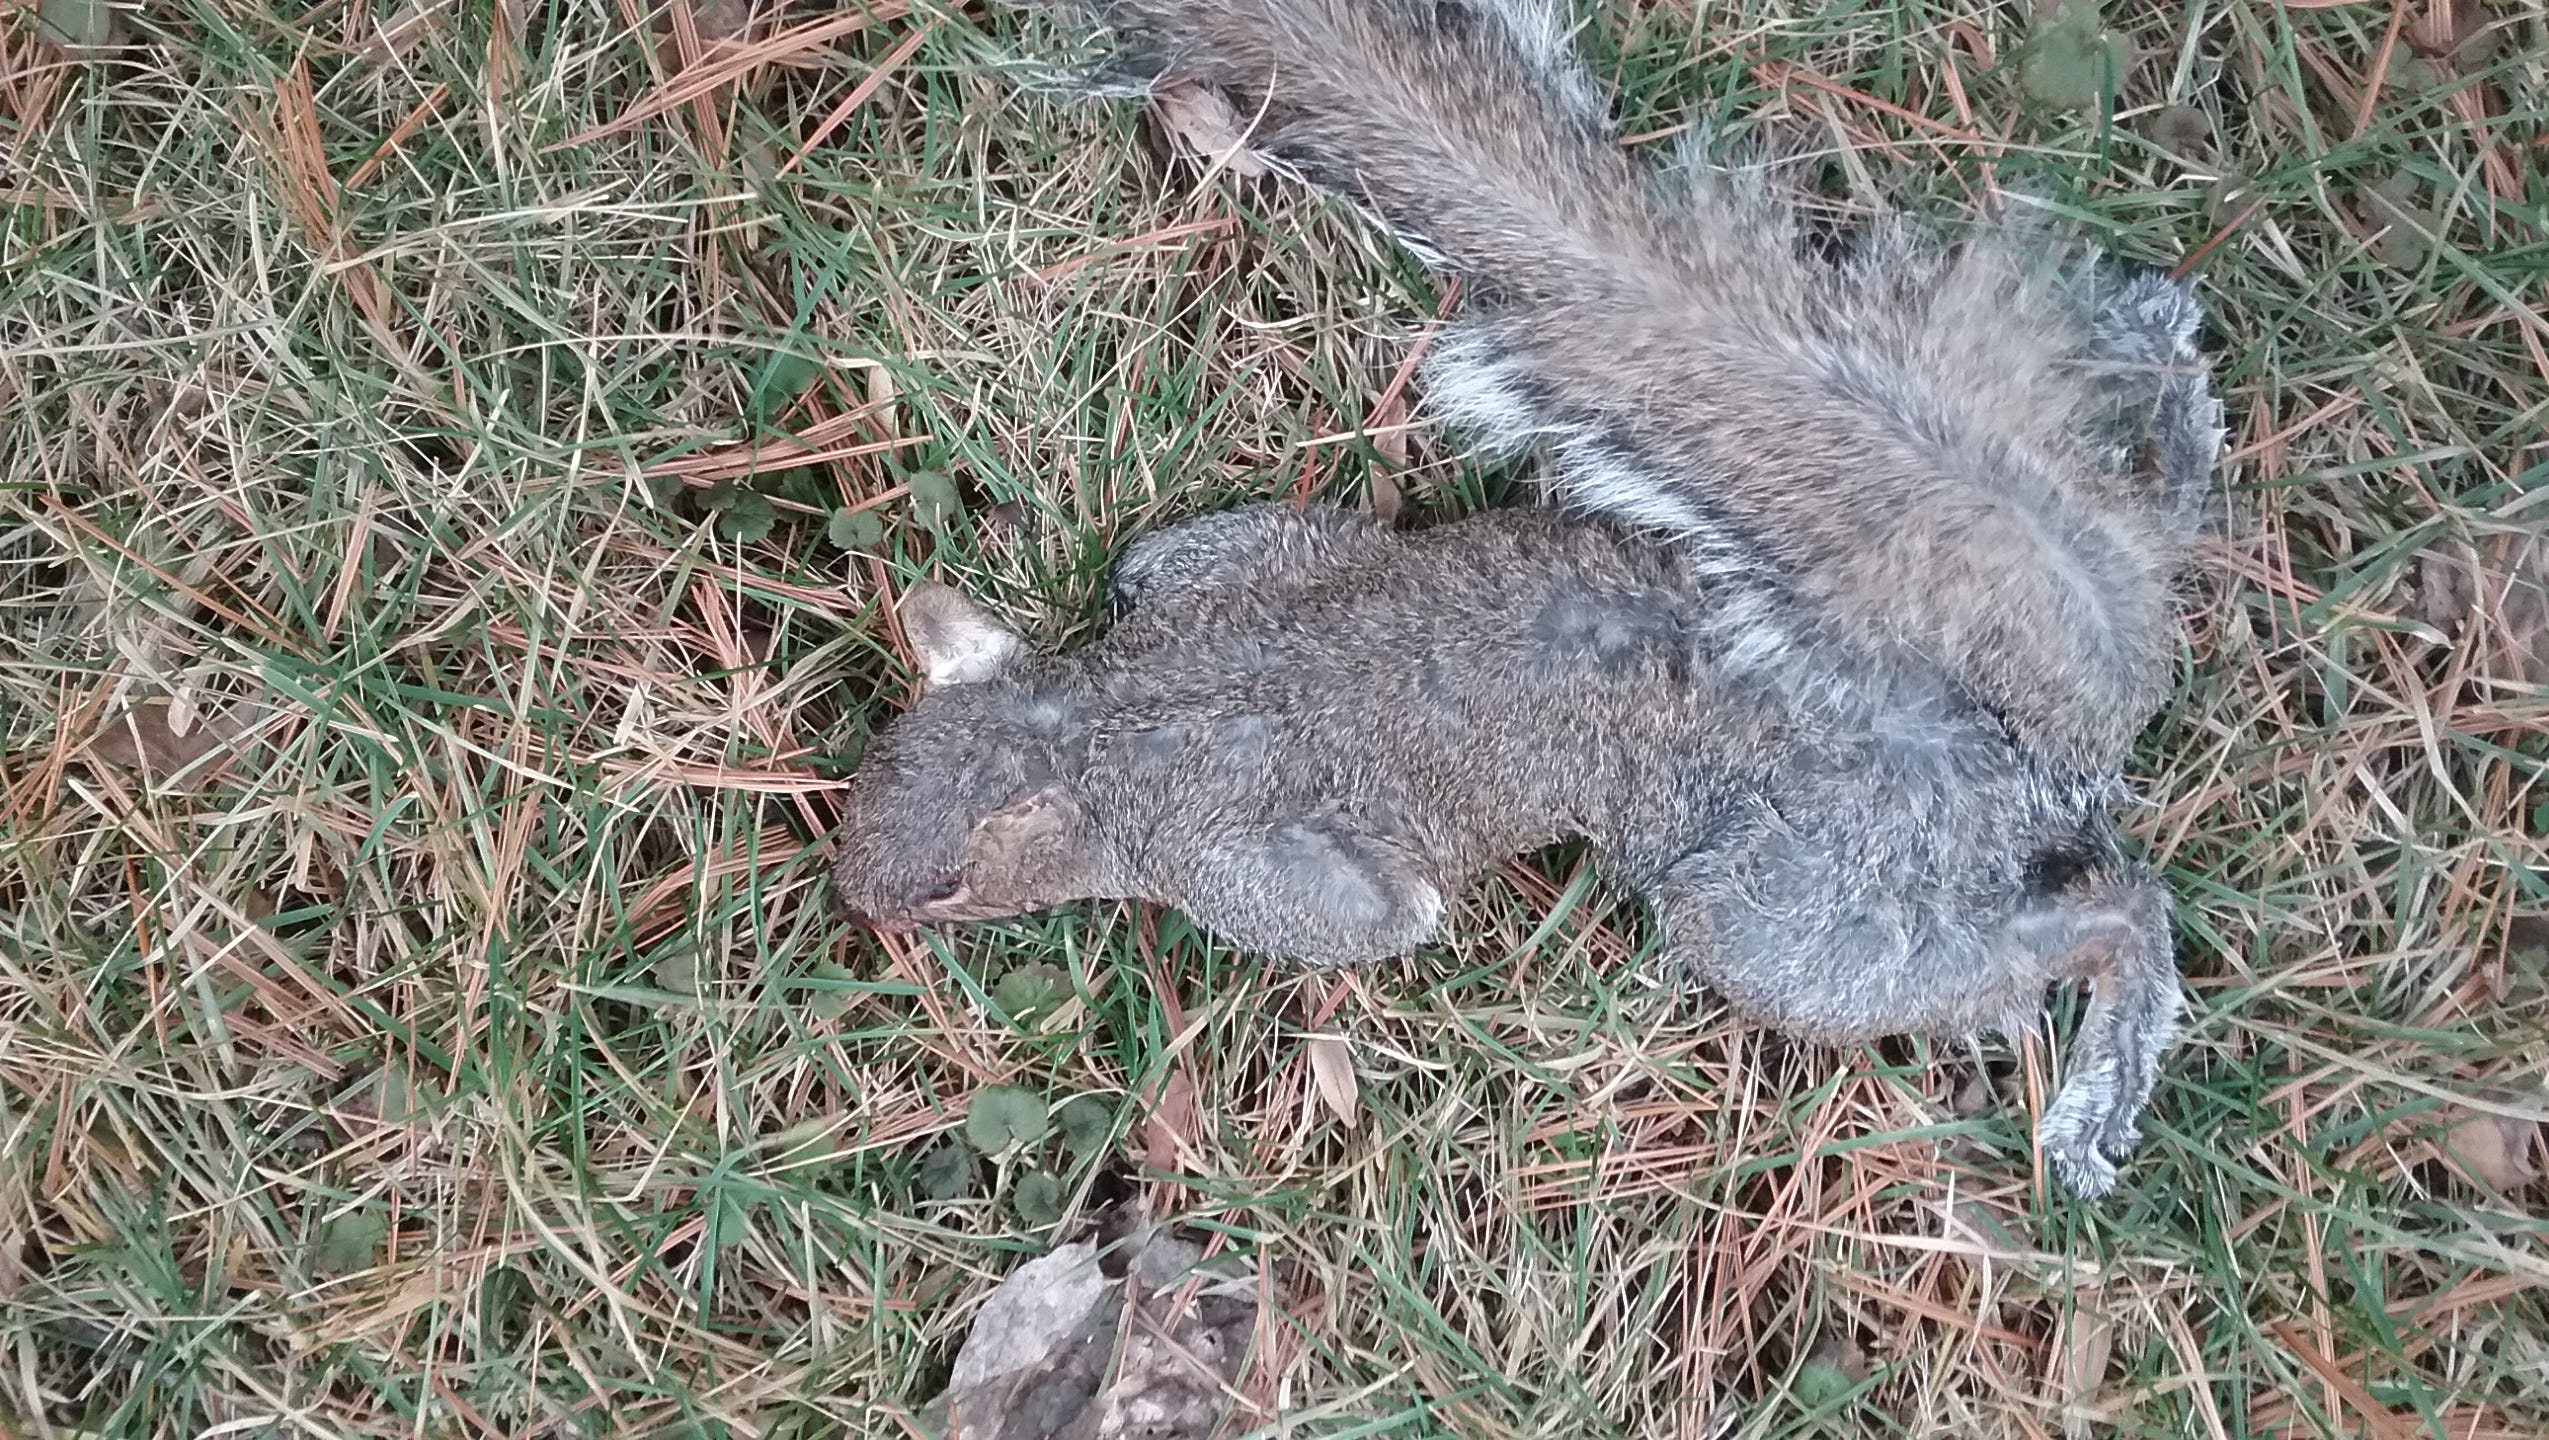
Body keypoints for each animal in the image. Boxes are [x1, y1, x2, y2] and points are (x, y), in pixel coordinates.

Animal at [831, 0, 2224, 1197]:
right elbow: (1194, 554)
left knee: (2101, 912)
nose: (855, 901)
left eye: (947, 887)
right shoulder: (1207, 577)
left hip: (1795, 901)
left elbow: (1383, 916)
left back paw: (2103, 1067)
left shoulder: (1235, 862)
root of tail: (1981, 725)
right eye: (875, 766)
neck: (1087, 726)